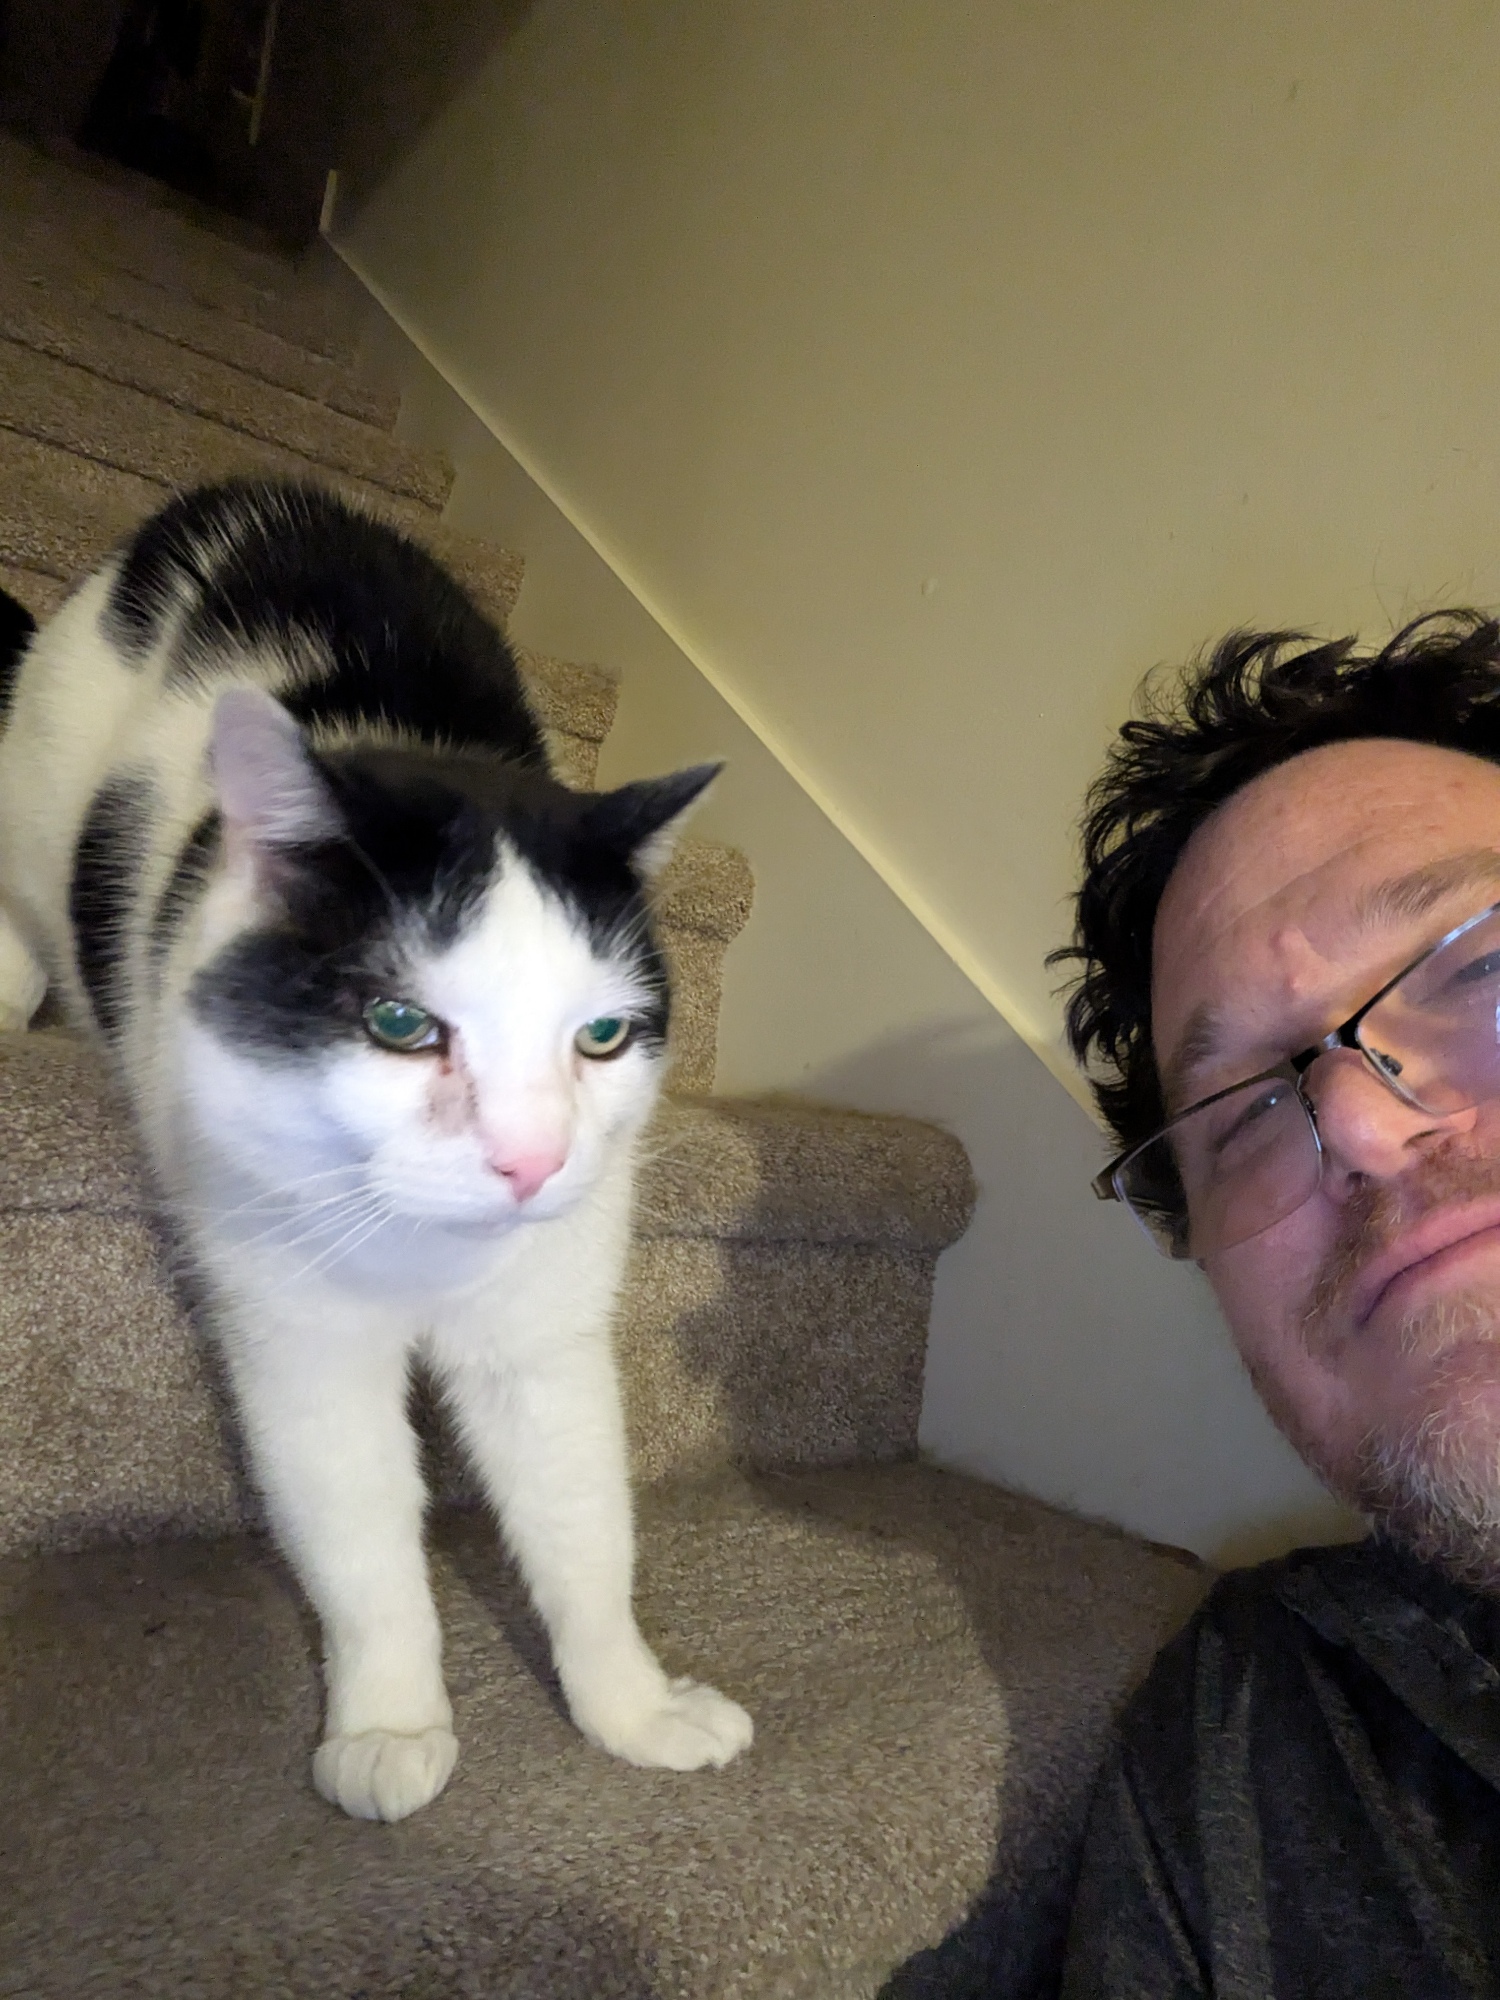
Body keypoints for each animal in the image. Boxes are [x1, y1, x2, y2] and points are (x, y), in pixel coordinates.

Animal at [0, 477, 753, 1821]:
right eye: (403, 1024)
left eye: (602, 1034)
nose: (531, 1160)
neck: (429, 1256)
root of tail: (246, 494)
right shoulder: (304, 1342)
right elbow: (362, 1544)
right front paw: (392, 1724)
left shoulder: (543, 1341)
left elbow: (582, 1524)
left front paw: (632, 1707)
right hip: (33, 786)